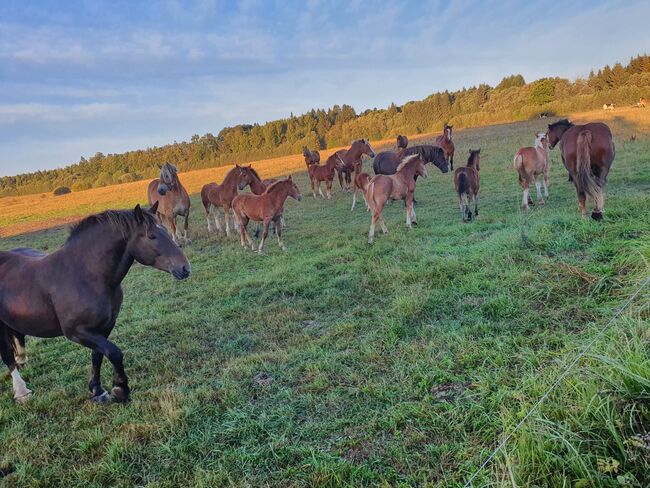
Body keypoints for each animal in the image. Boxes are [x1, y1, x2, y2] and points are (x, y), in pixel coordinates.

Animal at [1, 203, 190, 404]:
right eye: (151, 236)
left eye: (165, 230)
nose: (185, 268)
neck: (85, 275)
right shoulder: (76, 332)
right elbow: (114, 352)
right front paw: (120, 390)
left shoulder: (104, 327)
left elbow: (98, 355)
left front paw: (97, 390)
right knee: (7, 356)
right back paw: (21, 391)